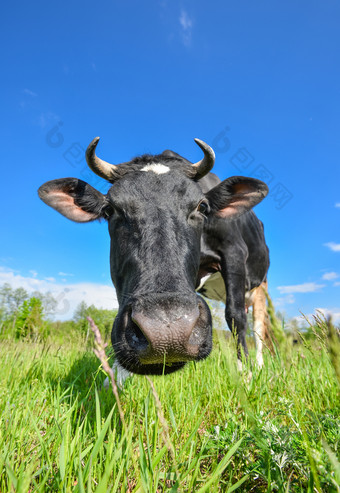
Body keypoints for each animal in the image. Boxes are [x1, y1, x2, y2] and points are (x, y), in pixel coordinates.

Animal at [38, 138, 270, 376]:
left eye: (202, 206)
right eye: (109, 209)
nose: (167, 331)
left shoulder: (234, 252)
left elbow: (235, 317)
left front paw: (245, 374)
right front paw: (115, 379)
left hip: (260, 287)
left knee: (258, 327)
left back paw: (261, 366)